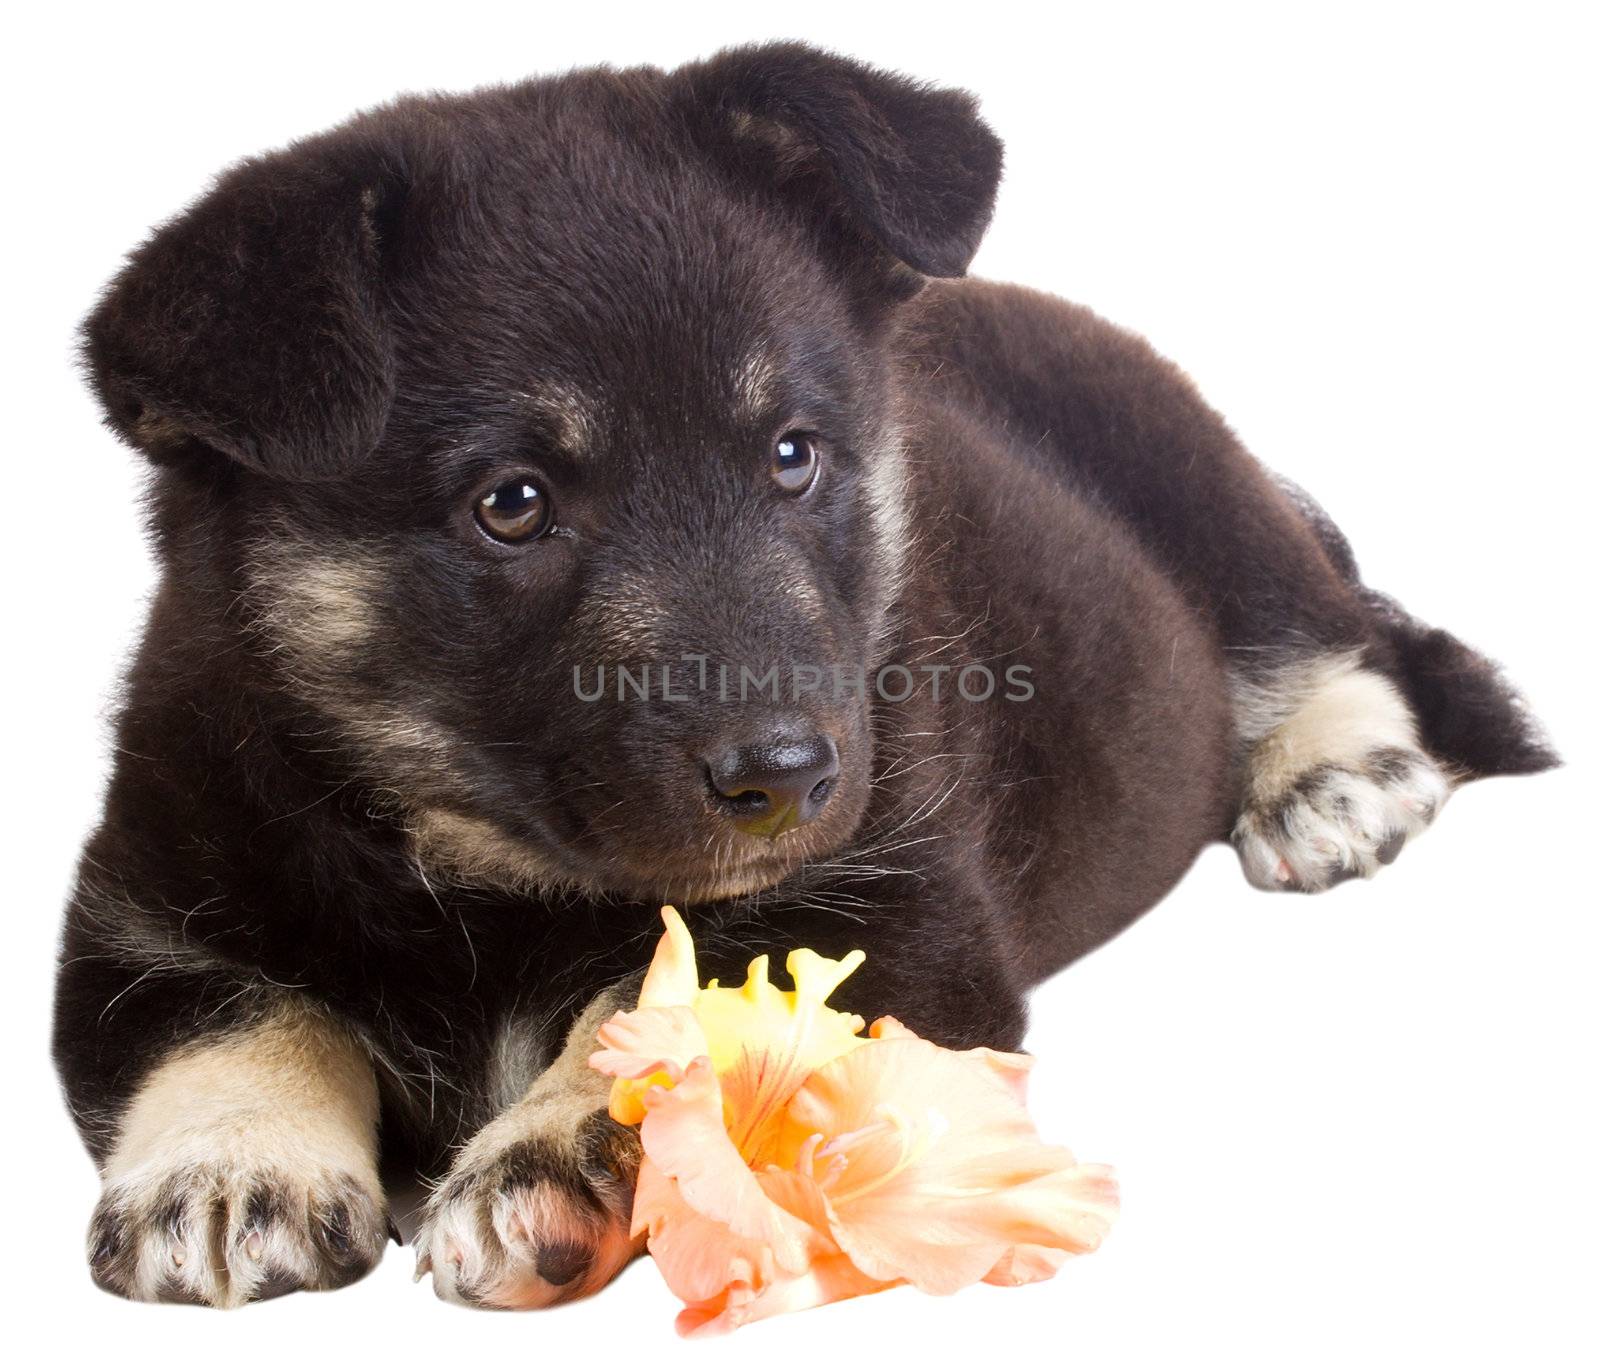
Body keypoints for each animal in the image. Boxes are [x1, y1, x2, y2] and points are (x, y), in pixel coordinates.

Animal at [56, 42, 1555, 1311]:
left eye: (792, 455)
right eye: (512, 504)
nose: (790, 778)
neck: (478, 867)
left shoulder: (898, 910)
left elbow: (681, 998)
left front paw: (553, 1149)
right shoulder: (138, 913)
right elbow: (235, 1011)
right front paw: (226, 1163)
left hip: (1198, 484)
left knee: (1343, 631)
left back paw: (1335, 776)